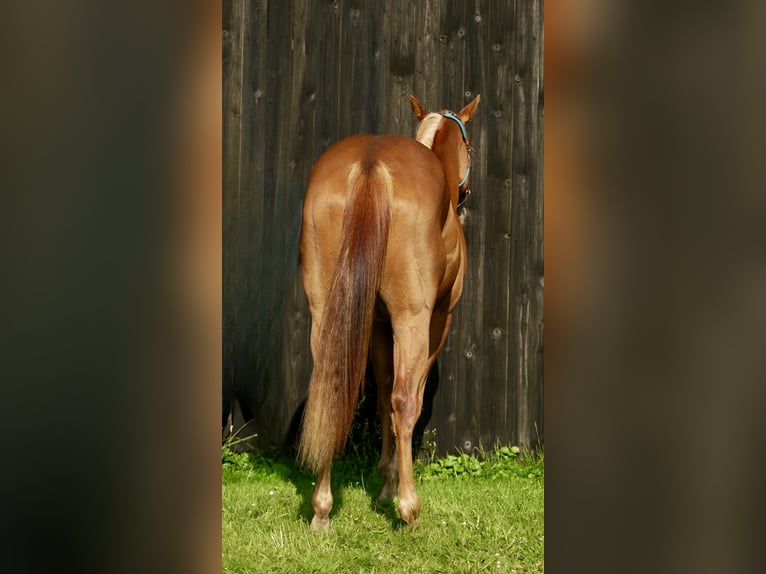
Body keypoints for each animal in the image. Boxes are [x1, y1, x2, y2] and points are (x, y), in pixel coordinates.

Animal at [298, 94, 480, 532]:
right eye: (470, 146)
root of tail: (370, 163)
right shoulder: (435, 321)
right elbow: (408, 400)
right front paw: (395, 489)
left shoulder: (379, 325)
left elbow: (380, 400)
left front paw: (383, 483)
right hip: (412, 318)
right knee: (403, 400)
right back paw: (409, 510)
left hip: (326, 313)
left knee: (331, 390)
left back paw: (321, 509)